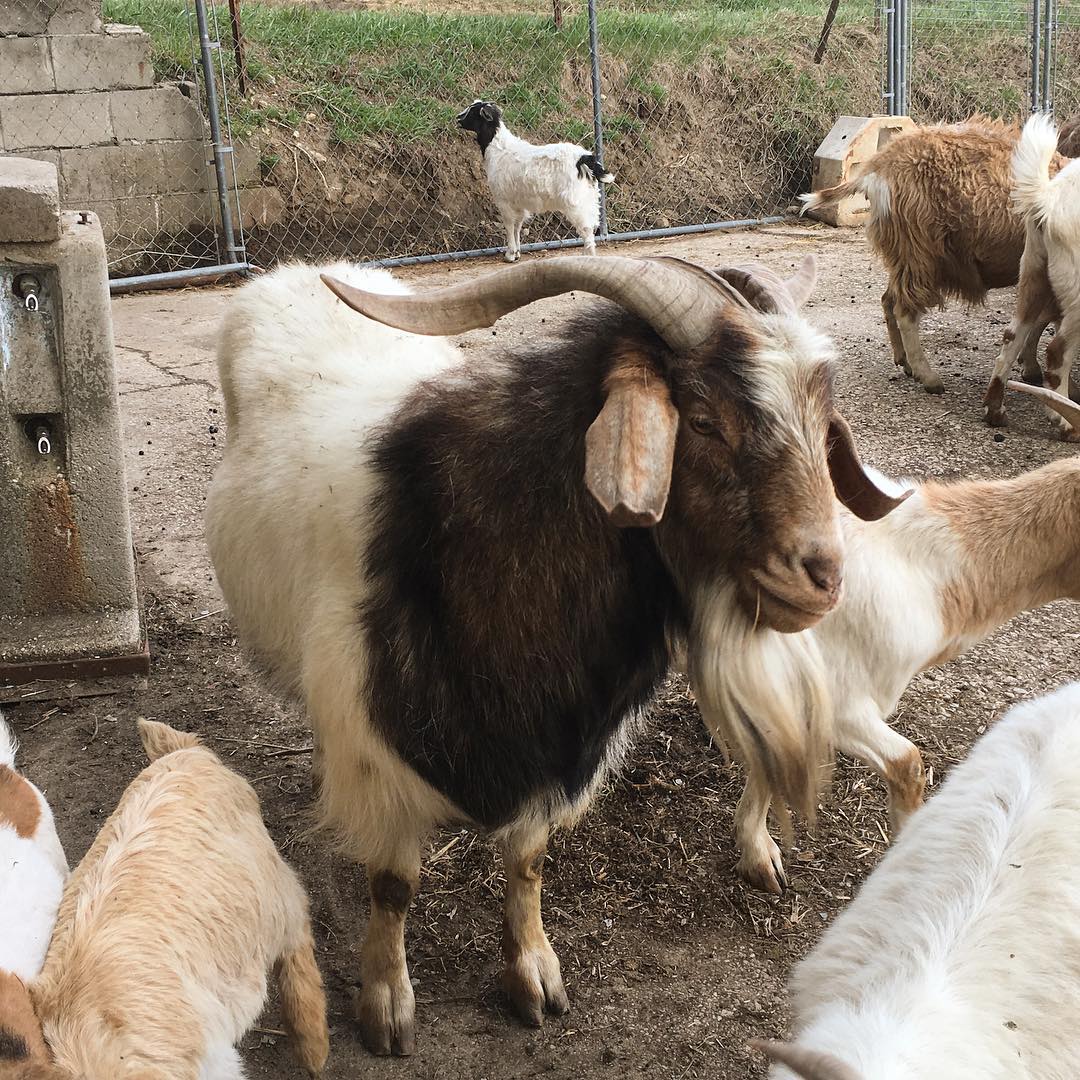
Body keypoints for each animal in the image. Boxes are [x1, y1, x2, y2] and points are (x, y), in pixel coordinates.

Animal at [205, 252, 906, 1053]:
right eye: (702, 420)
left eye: (823, 424)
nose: (823, 577)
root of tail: (302, 270)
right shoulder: (377, 749)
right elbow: (394, 884)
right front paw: (386, 1004)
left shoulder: (558, 746)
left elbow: (528, 861)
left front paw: (534, 975)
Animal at [457, 100, 613, 262]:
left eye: (473, 111)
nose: (458, 118)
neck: (498, 149)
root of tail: (584, 158)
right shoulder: (518, 203)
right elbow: (517, 226)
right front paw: (517, 253)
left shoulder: (504, 200)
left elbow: (509, 225)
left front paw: (510, 254)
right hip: (589, 198)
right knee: (591, 227)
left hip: (575, 202)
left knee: (586, 230)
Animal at [800, 117, 1071, 398]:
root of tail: (879, 165)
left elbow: (1040, 321)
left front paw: (1031, 367)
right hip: (918, 249)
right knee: (905, 310)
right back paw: (928, 377)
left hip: (905, 254)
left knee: (888, 300)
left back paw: (905, 361)